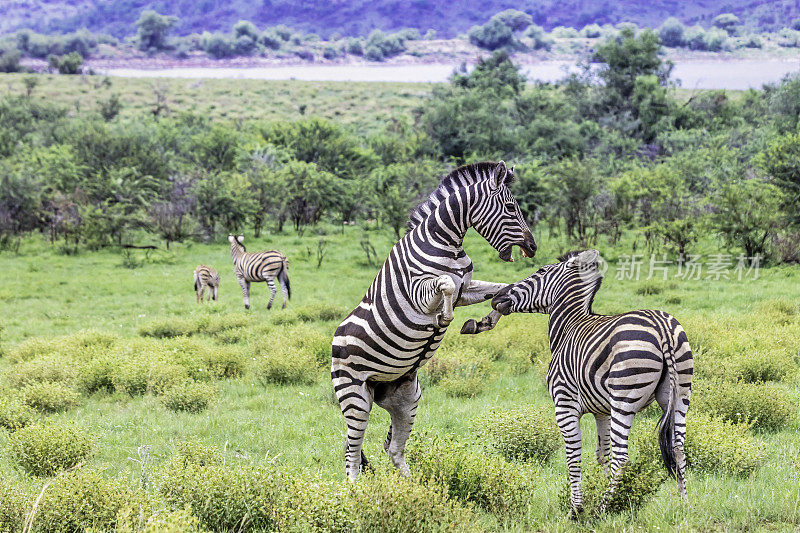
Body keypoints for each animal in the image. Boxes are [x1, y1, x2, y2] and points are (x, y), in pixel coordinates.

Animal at [332, 160, 536, 480]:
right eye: (510, 207)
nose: (533, 247)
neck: (445, 241)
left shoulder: (467, 287)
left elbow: (501, 289)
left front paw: (483, 322)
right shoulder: (420, 290)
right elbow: (446, 286)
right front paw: (445, 318)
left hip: (406, 399)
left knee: (394, 450)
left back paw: (413, 487)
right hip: (355, 395)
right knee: (353, 457)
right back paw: (356, 491)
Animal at [462, 249, 692, 516]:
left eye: (540, 271)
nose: (497, 297)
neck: (567, 327)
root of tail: (662, 326)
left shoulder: (565, 404)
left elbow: (573, 455)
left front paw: (576, 508)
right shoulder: (603, 411)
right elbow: (602, 454)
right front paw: (596, 490)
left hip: (624, 398)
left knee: (622, 458)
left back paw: (603, 508)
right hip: (679, 395)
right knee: (678, 448)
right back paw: (683, 504)